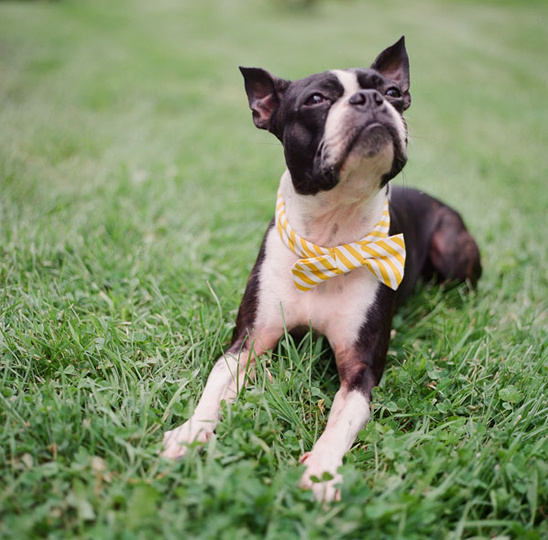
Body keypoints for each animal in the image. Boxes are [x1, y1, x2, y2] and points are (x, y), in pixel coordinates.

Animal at [161, 37, 482, 502]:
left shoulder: (360, 369)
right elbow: (213, 388)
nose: (370, 99)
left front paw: (323, 470)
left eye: (392, 93)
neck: (330, 240)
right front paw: (189, 434)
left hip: (452, 251)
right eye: (316, 100)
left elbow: (340, 420)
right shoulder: (247, 343)